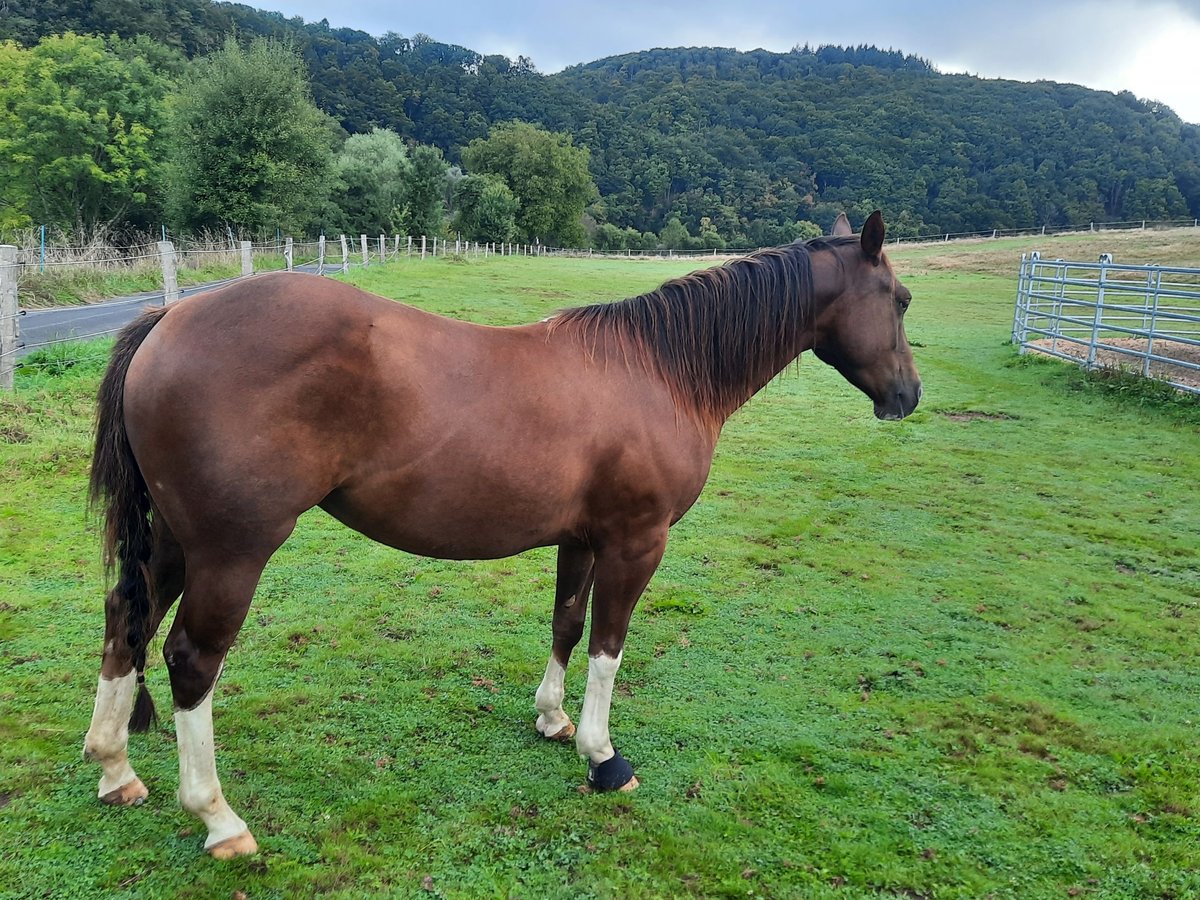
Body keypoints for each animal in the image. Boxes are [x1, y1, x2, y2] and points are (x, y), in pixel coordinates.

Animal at [82, 210, 920, 858]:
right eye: (903, 299)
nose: (908, 395)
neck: (659, 371)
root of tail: (170, 319)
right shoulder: (635, 542)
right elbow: (609, 646)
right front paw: (602, 757)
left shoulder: (582, 539)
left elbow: (566, 624)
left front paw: (551, 718)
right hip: (232, 551)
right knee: (191, 659)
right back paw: (218, 818)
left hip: (176, 542)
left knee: (127, 621)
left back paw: (115, 768)